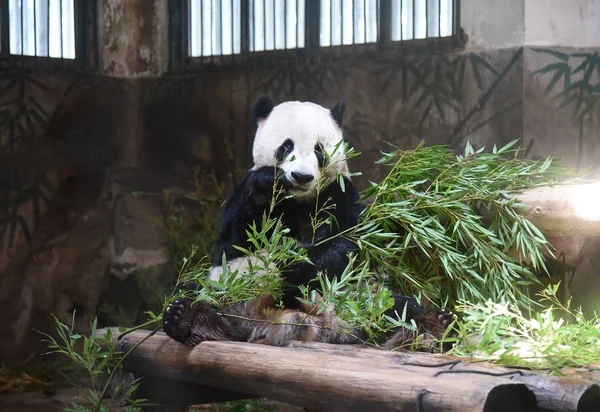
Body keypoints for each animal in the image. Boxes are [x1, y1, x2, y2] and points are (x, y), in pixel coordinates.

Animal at [162, 96, 452, 350]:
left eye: (318, 150)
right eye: (286, 146)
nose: (301, 176)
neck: (300, 199)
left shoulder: (340, 194)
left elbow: (349, 245)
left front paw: (293, 264)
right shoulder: (247, 204)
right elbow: (232, 244)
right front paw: (267, 185)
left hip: (358, 298)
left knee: (399, 308)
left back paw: (438, 327)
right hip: (230, 289)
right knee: (197, 294)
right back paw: (183, 319)